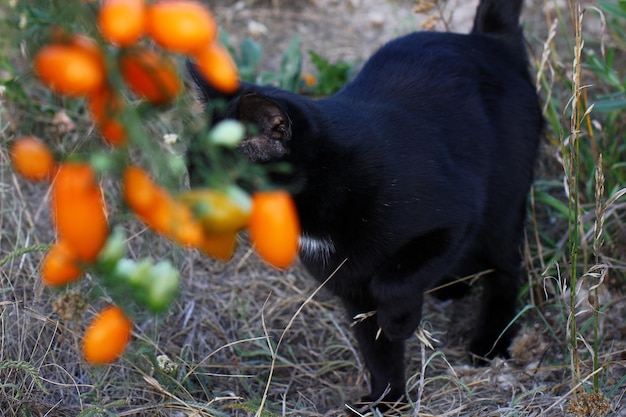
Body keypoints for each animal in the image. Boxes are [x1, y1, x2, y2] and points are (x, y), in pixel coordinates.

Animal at [185, 0, 540, 410]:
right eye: (192, 170)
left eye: (218, 177)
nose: (189, 204)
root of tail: (487, 39)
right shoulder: (351, 287)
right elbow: (377, 350)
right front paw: (388, 401)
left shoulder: (456, 215)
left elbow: (392, 282)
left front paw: (401, 321)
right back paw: (451, 288)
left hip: (502, 205)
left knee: (504, 270)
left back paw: (491, 342)